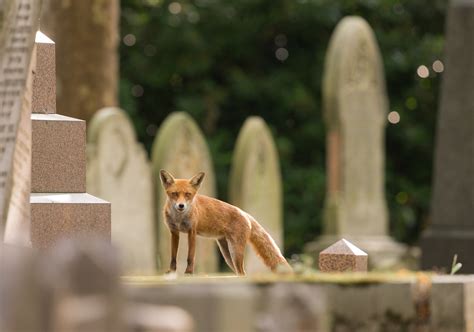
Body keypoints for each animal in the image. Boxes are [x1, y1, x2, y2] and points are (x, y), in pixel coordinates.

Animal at [160, 169, 292, 274]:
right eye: (174, 194)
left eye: (188, 194)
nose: (181, 206)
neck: (179, 218)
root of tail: (244, 213)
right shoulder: (174, 232)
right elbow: (173, 256)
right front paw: (171, 272)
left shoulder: (192, 232)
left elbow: (190, 257)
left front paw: (188, 272)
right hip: (228, 256)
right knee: (241, 273)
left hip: (235, 252)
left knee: (243, 273)